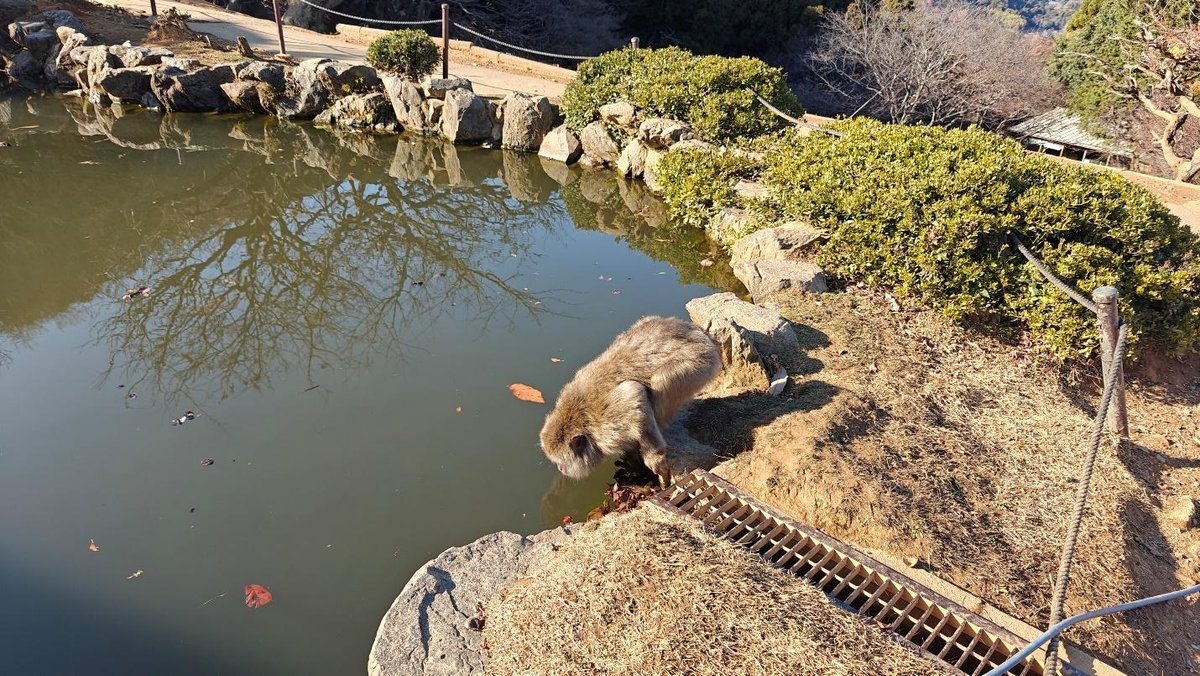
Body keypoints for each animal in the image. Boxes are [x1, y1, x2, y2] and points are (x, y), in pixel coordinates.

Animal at [539, 315, 721, 486]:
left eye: (561, 463)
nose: (560, 469)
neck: (579, 419)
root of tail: (699, 333)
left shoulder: (606, 425)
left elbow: (633, 393)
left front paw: (655, 460)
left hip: (699, 362)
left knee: (660, 382)